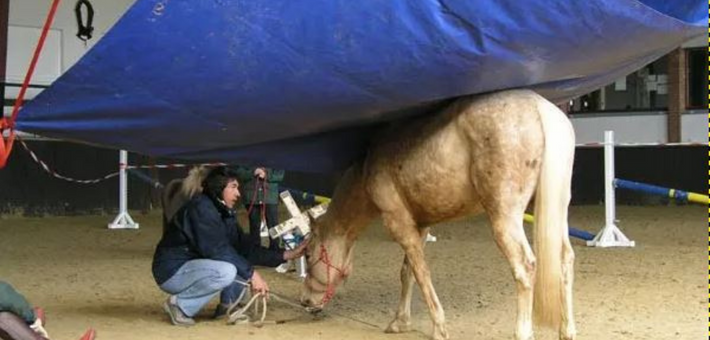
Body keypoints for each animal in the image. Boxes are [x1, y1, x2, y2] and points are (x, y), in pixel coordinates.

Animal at [300, 88, 580, 340]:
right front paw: (400, 322)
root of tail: (540, 109)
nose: (305, 301)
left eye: (308, 253)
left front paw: (438, 328)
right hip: (555, 212)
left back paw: (522, 332)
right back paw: (567, 330)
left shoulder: (399, 224)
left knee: (524, 267)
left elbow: (421, 273)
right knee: (565, 259)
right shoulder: (420, 226)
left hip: (504, 217)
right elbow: (408, 272)